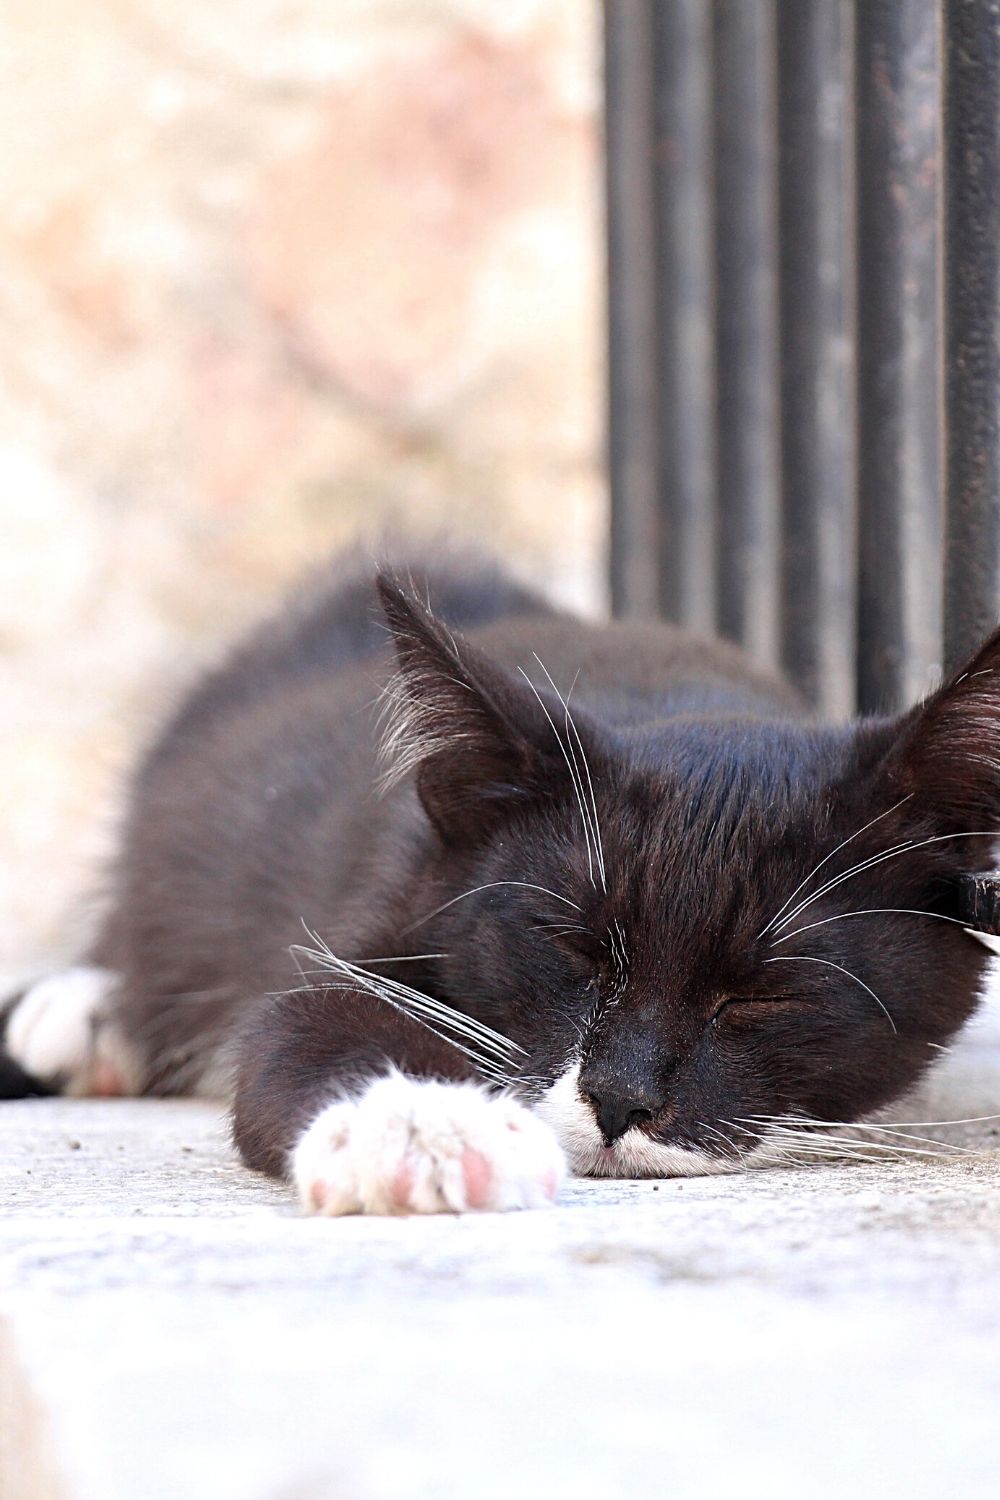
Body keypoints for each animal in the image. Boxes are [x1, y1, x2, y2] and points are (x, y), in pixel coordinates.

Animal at [3, 555, 995, 1218]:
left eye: (766, 995)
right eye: (571, 948)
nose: (620, 1101)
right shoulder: (399, 892)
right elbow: (304, 1021)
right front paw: (423, 1128)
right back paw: (83, 1011)